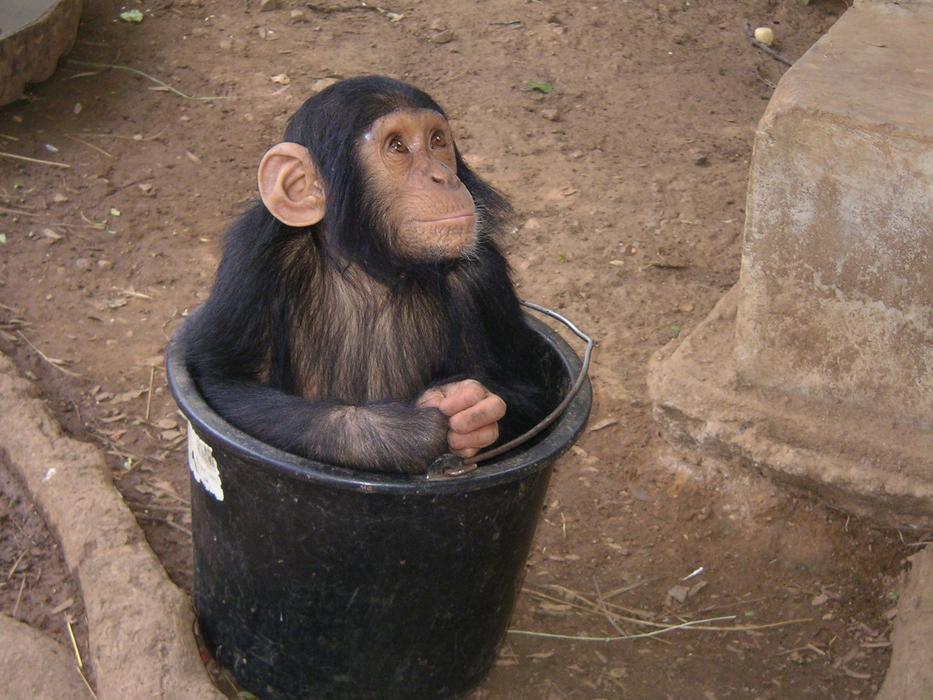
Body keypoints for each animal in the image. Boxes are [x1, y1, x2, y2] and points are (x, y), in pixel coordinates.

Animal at [184, 76, 558, 473]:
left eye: (436, 141)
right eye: (397, 146)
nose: (443, 177)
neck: (374, 267)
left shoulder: (486, 277)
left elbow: (528, 393)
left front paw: (473, 412)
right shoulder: (251, 259)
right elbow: (225, 380)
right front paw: (412, 430)